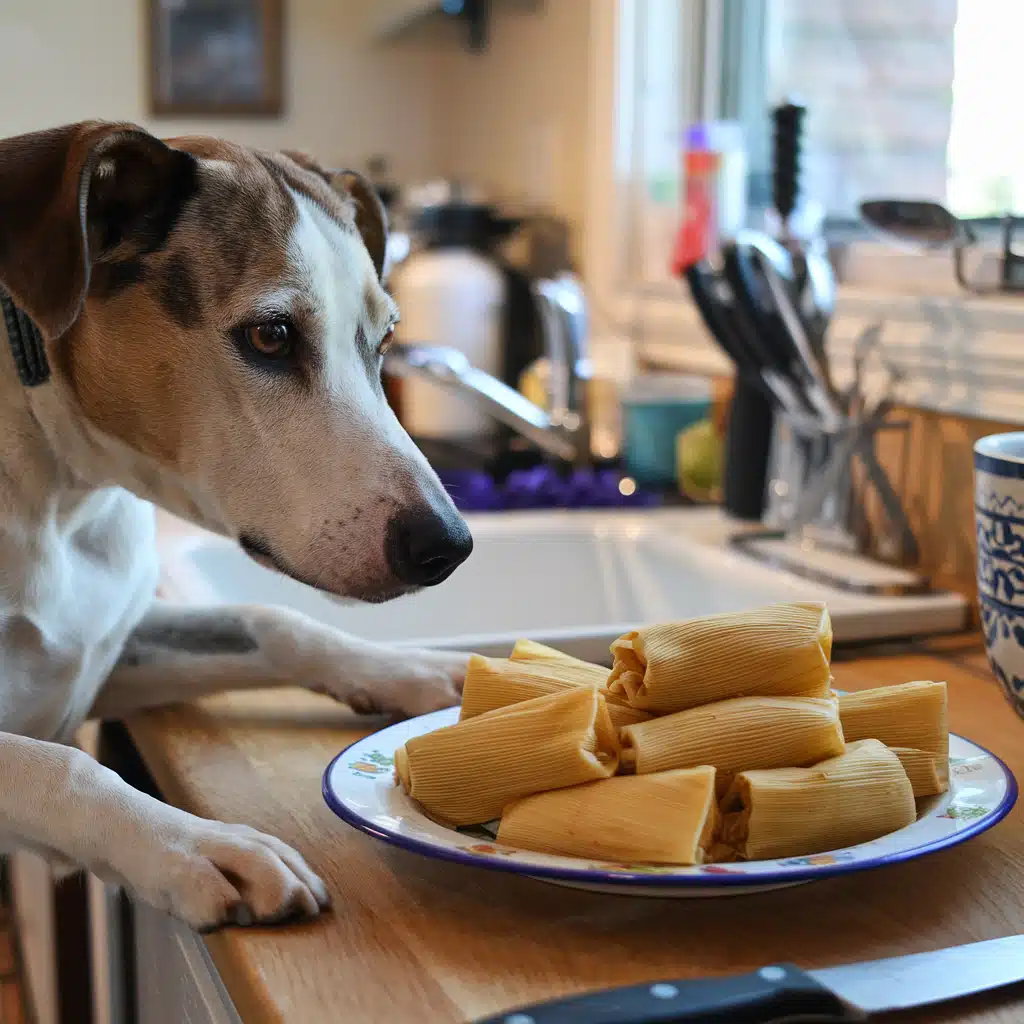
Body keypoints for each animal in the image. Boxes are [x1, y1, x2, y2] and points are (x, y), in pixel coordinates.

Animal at [0, 123, 475, 933]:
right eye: (272, 336)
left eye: (383, 341)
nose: (448, 546)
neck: (66, 492)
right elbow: (56, 764)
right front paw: (195, 845)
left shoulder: (107, 654)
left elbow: (273, 622)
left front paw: (410, 669)